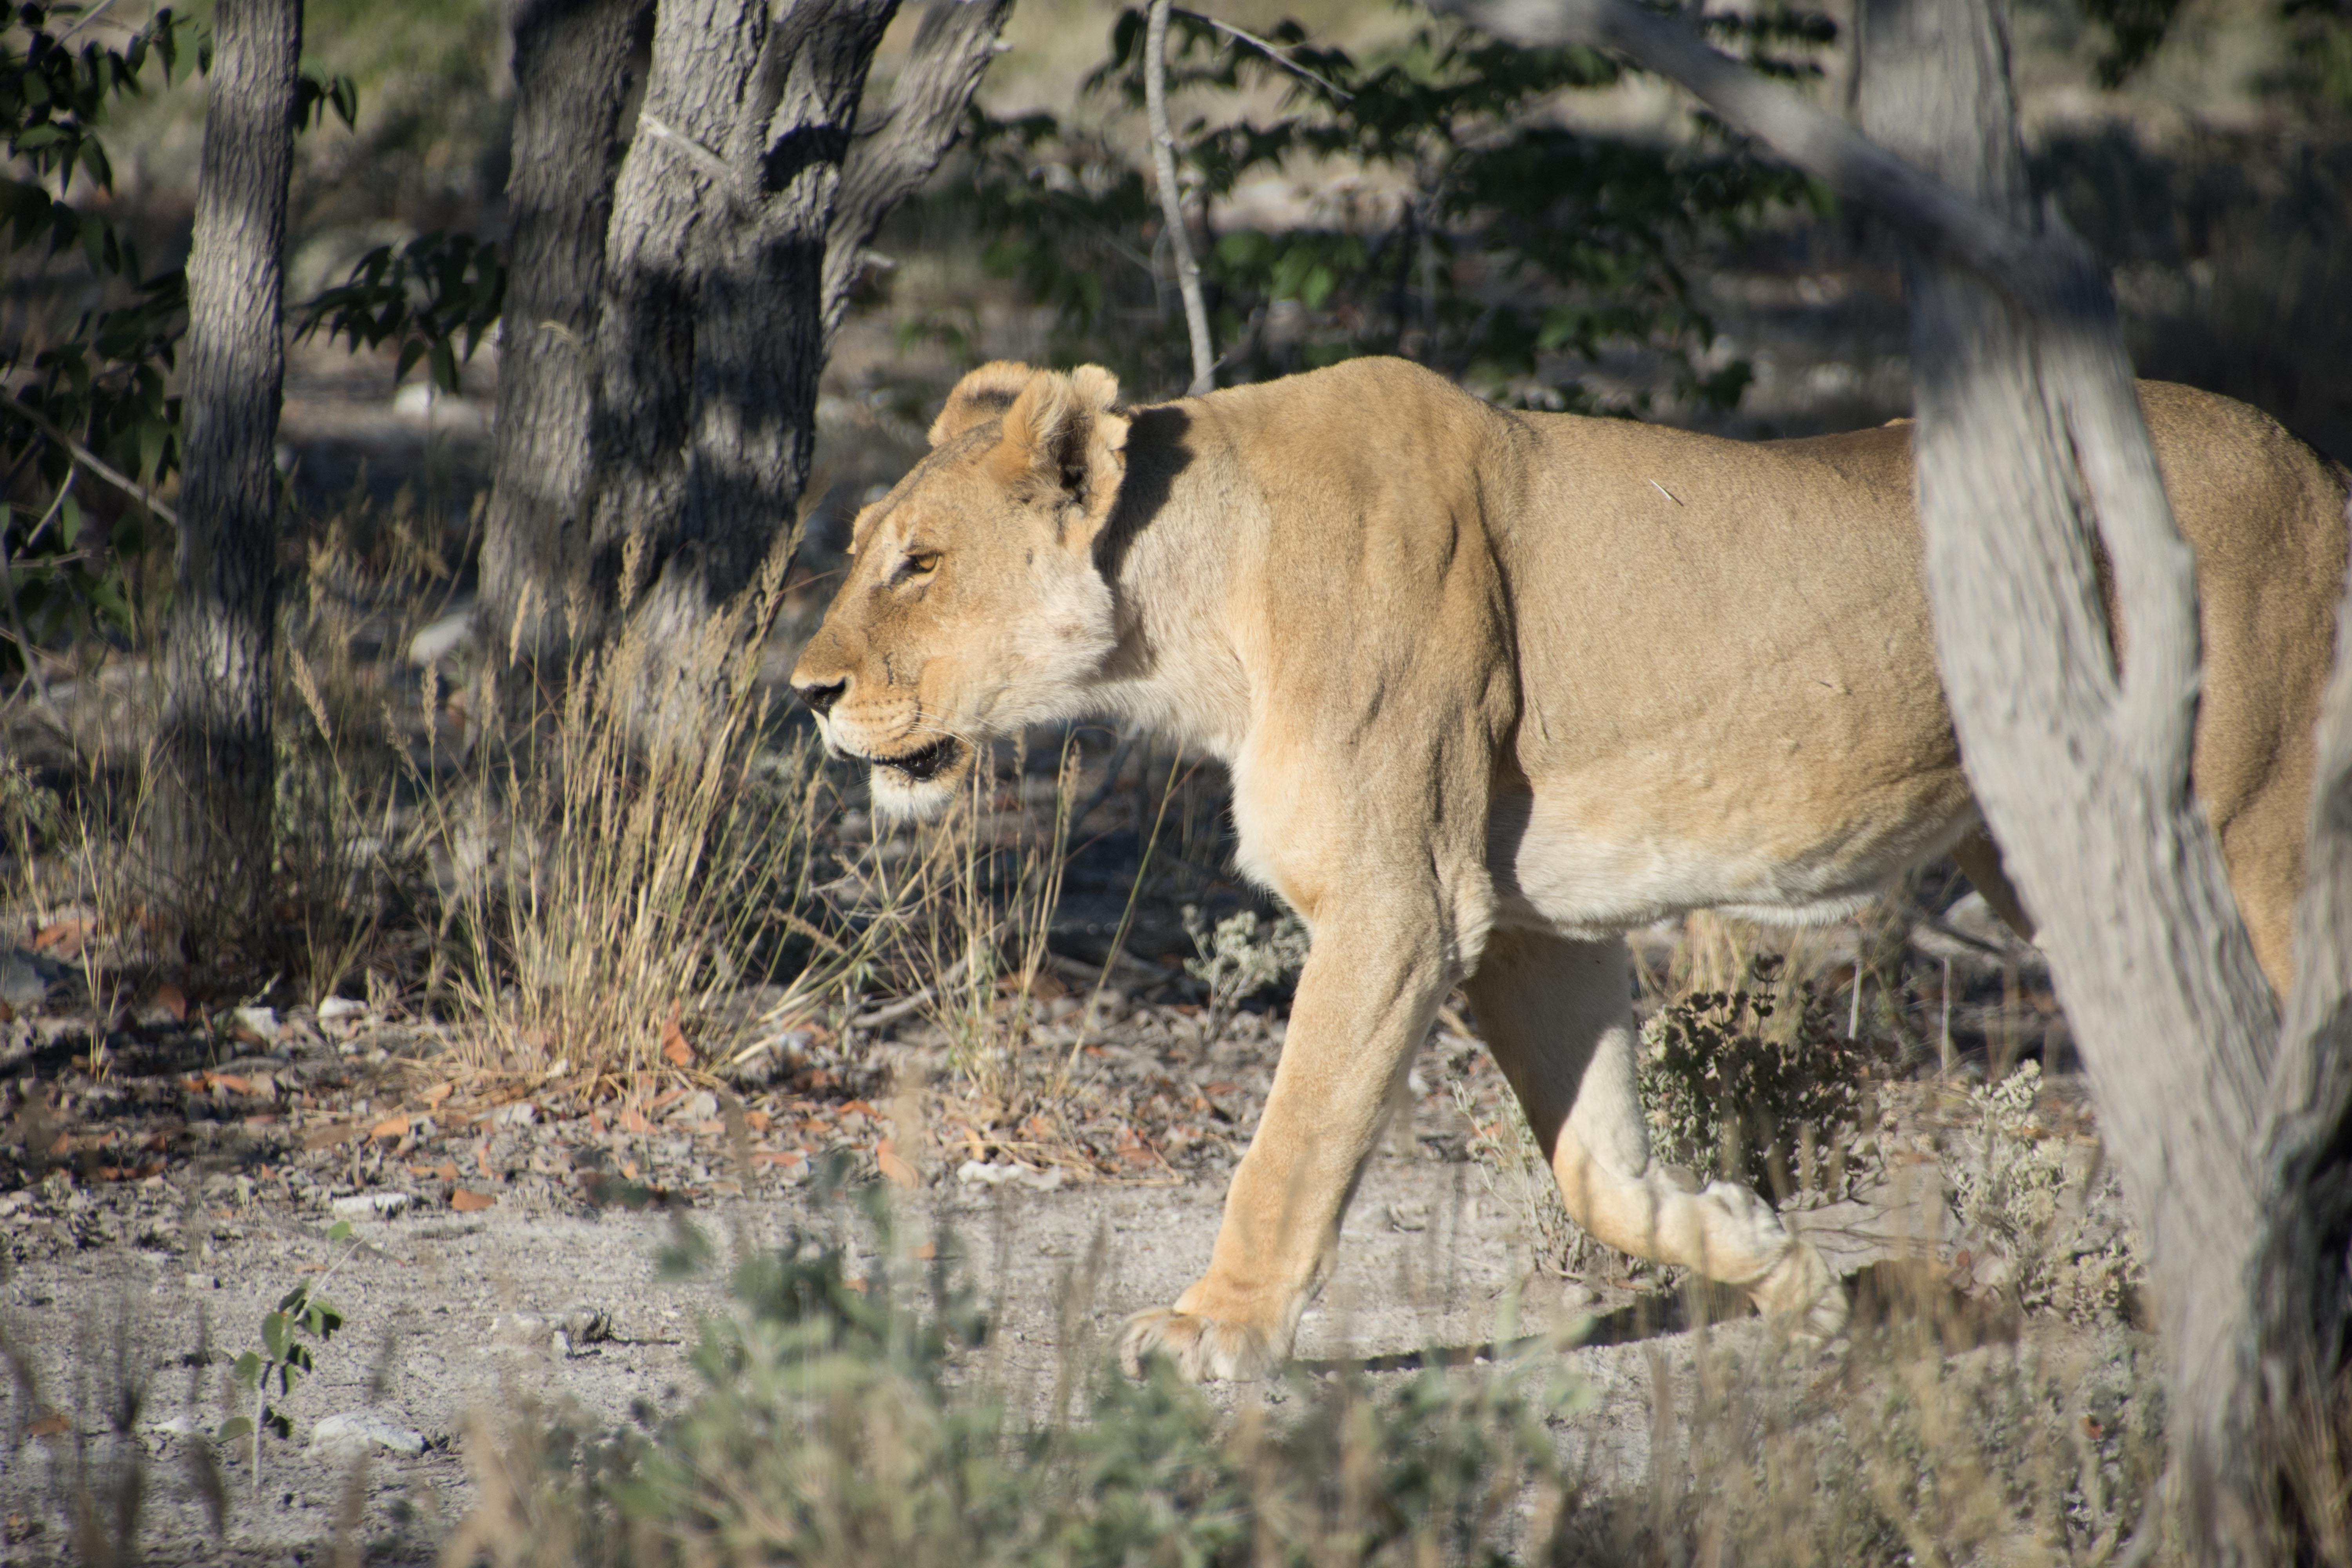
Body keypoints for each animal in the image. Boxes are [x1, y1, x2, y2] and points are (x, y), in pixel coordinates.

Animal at [789, 355, 2349, 1380]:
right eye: (864, 549)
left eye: (919, 562)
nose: (803, 691)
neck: (1192, 614)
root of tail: (2306, 455)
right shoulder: (1528, 927)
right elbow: (1598, 1169)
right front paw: (1773, 1265)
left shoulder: (1399, 904)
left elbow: (1291, 1142)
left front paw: (1210, 1330)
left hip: (2246, 821)